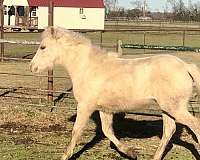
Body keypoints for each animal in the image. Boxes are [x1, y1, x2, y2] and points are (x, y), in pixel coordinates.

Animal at [29, 26, 200, 159]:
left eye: (43, 47)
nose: (32, 67)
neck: (88, 67)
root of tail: (186, 66)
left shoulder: (85, 106)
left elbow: (76, 131)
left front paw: (65, 155)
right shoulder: (105, 109)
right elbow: (107, 131)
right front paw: (131, 153)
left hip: (175, 108)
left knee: (195, 125)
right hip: (167, 109)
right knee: (168, 131)